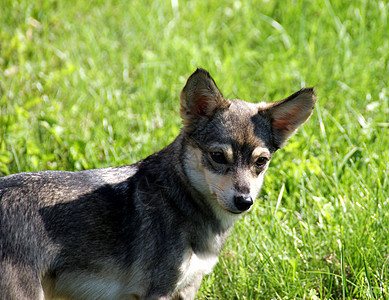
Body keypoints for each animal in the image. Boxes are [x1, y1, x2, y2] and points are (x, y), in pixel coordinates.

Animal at [0, 69, 314, 298]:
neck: (180, 200)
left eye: (260, 162)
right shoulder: (159, 291)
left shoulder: (187, 288)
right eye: (217, 156)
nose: (244, 201)